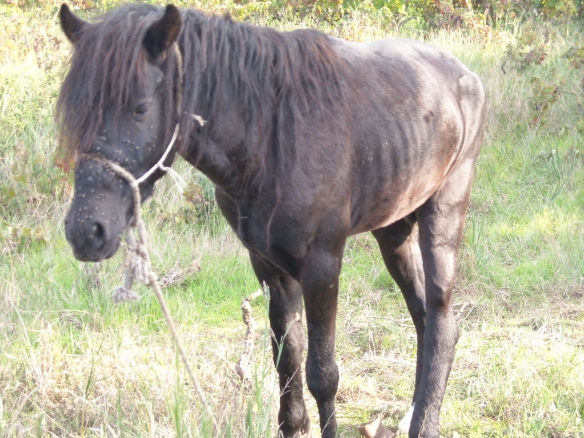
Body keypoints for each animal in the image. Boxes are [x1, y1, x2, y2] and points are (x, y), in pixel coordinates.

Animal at [58, 4, 488, 438]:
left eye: (141, 108)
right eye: (75, 112)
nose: (86, 231)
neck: (272, 137)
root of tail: (463, 74)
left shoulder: (322, 265)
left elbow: (323, 374)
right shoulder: (270, 267)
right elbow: (287, 357)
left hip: (443, 218)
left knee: (440, 320)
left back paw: (425, 423)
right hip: (394, 231)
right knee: (424, 318)